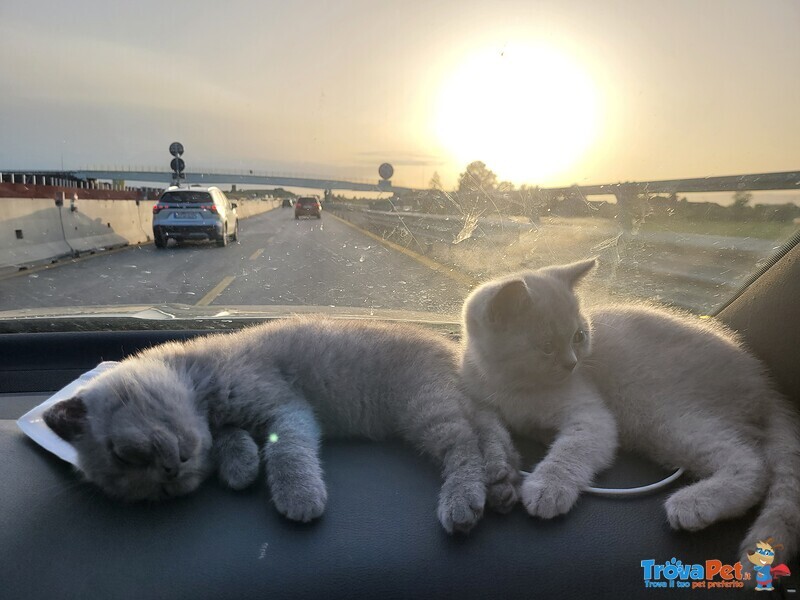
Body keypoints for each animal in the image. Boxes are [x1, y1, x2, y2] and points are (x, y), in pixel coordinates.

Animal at [43, 316, 520, 532]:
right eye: (156, 491)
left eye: (126, 453)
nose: (172, 471)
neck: (201, 378)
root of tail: (452, 352)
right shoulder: (229, 421)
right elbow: (231, 441)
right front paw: (240, 466)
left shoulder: (285, 405)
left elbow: (285, 448)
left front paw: (298, 495)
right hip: (443, 402)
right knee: (488, 427)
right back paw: (501, 481)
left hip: (424, 403)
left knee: (464, 441)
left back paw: (464, 497)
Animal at [460, 260, 800, 564]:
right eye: (546, 346)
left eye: (578, 337)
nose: (572, 364)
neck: (515, 387)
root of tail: (765, 383)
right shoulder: (481, 400)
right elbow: (490, 428)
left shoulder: (591, 414)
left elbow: (572, 450)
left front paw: (548, 488)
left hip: (667, 415)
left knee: (752, 464)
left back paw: (694, 503)